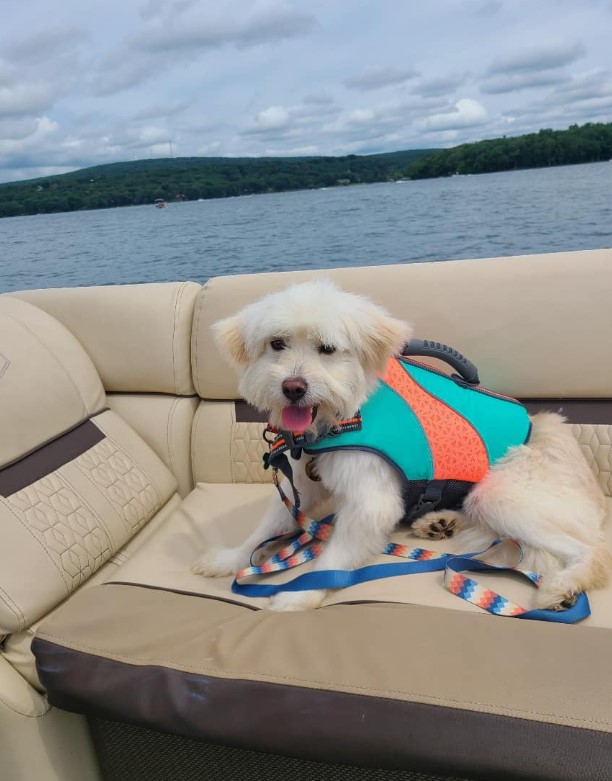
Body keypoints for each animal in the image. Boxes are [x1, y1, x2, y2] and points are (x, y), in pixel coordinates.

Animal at [192, 278, 612, 612]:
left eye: (327, 348)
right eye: (276, 344)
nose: (293, 388)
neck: (343, 417)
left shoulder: (369, 504)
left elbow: (331, 562)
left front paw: (297, 596)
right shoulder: (303, 490)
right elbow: (263, 530)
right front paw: (230, 560)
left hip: (499, 493)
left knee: (594, 549)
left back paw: (562, 589)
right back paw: (439, 522)